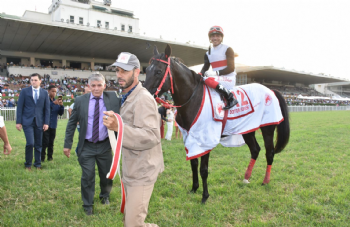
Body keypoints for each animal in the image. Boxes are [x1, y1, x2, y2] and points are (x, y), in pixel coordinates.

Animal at [142, 44, 290, 204]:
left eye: (158, 71)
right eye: (147, 70)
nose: (145, 93)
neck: (193, 98)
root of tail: (271, 90)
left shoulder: (205, 138)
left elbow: (203, 169)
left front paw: (204, 196)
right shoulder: (189, 136)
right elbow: (193, 164)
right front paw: (194, 188)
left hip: (267, 128)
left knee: (270, 153)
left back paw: (265, 181)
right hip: (247, 129)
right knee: (255, 150)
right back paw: (246, 178)